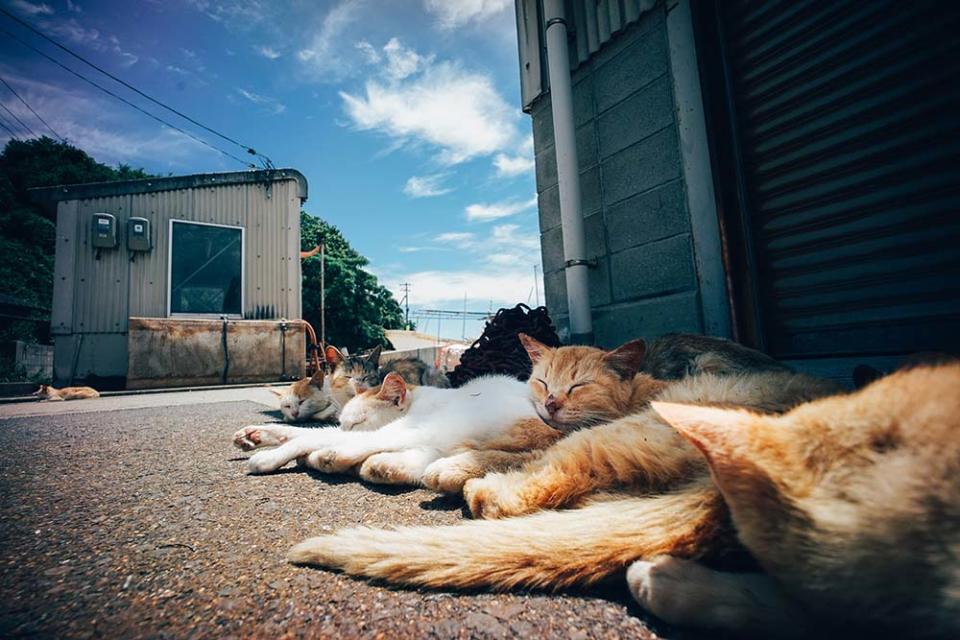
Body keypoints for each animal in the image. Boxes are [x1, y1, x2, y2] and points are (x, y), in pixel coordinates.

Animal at [235, 372, 560, 488]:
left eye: (356, 422)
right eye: (345, 421)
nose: (347, 429)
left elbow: (315, 436)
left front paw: (268, 456)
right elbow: (307, 432)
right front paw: (255, 435)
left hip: (436, 425)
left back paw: (333, 456)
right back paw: (383, 466)